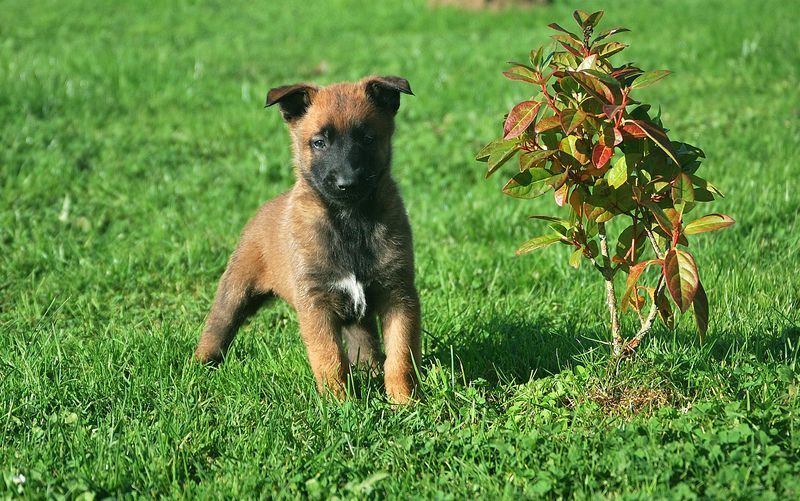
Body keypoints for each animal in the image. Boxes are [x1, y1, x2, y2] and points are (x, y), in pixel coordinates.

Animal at [193, 75, 422, 402]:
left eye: (367, 139)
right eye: (319, 142)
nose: (347, 183)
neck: (350, 222)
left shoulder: (398, 295)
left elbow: (400, 356)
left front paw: (404, 402)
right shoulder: (316, 305)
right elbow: (330, 358)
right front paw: (340, 404)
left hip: (357, 314)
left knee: (364, 344)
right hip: (236, 291)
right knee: (217, 328)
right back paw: (199, 367)